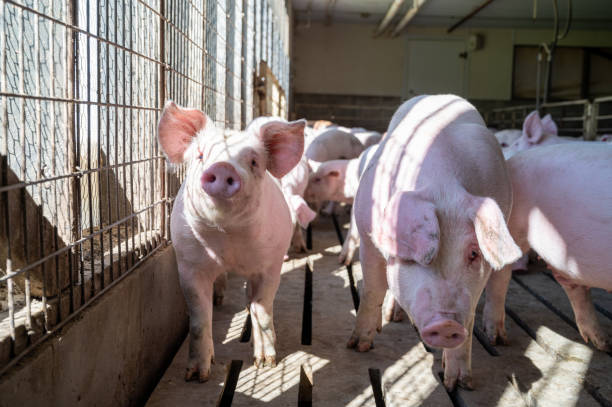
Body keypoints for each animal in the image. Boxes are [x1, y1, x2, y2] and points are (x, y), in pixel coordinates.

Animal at [155, 102, 304, 382]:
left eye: (254, 161)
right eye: (200, 155)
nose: (224, 167)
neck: (228, 238)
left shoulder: (271, 263)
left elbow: (262, 307)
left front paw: (265, 363)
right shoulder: (189, 263)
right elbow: (199, 318)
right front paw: (197, 376)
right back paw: (219, 298)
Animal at [350, 95, 520, 392]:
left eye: (473, 253)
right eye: (418, 256)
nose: (447, 323)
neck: (443, 187)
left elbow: (471, 317)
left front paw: (461, 383)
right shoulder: (367, 233)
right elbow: (373, 288)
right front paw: (359, 346)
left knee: (500, 283)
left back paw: (498, 339)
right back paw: (392, 316)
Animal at [482, 144, 612, 354]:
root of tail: (512, 162)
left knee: (574, 287)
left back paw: (603, 343)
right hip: (513, 224)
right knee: (500, 276)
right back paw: (497, 339)